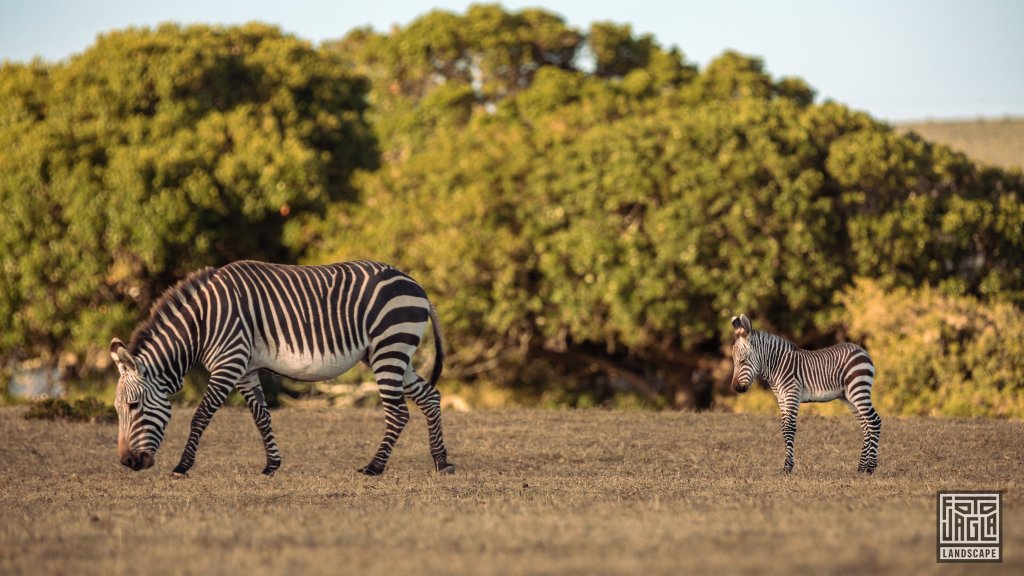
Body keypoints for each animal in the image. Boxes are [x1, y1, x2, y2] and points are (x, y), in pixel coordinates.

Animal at [109, 260, 456, 475]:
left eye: (134, 406)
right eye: (117, 410)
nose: (127, 462)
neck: (202, 323)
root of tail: (417, 285)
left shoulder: (229, 362)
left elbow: (201, 416)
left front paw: (183, 465)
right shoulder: (246, 369)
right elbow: (261, 417)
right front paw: (272, 465)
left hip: (389, 348)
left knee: (398, 413)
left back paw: (375, 467)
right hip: (392, 353)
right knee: (430, 397)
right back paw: (441, 461)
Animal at [729, 313, 880, 471]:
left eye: (743, 360)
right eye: (734, 360)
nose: (736, 388)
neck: (777, 366)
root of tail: (862, 351)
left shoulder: (792, 394)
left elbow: (789, 428)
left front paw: (788, 467)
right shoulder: (781, 399)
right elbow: (784, 428)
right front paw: (786, 465)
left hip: (859, 389)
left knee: (874, 421)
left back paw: (871, 467)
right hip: (849, 397)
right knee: (866, 426)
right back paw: (861, 467)